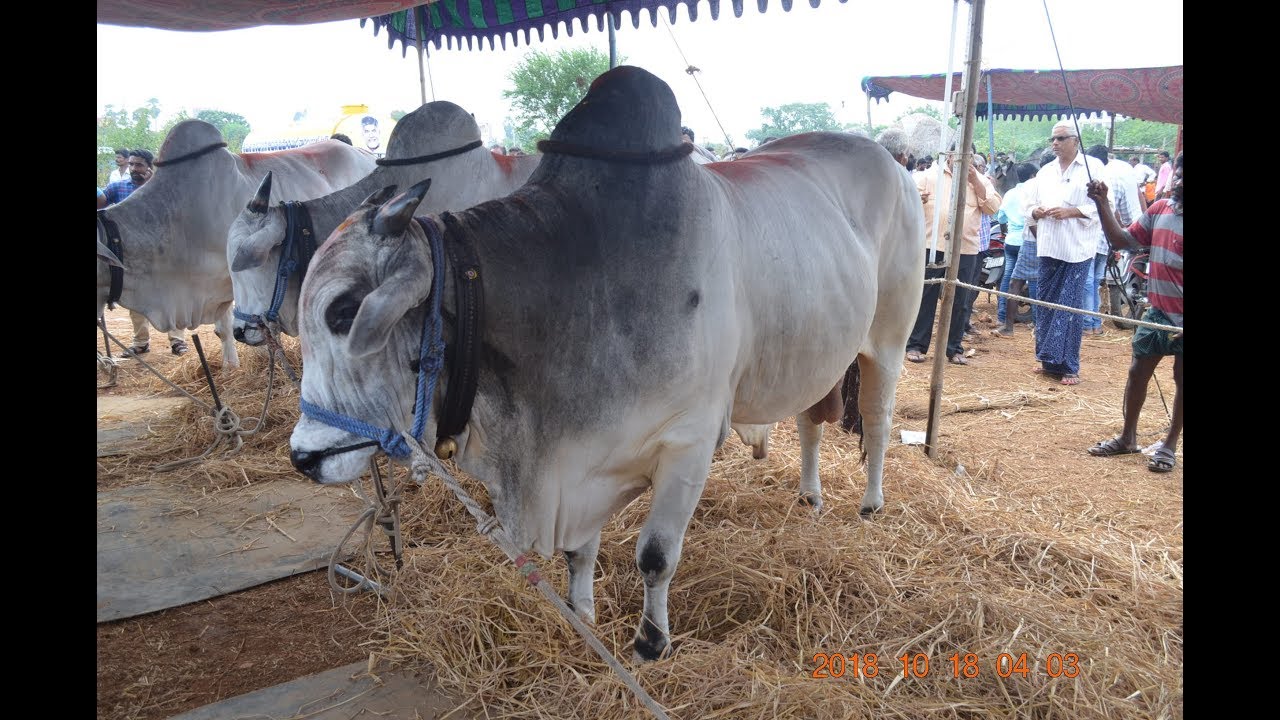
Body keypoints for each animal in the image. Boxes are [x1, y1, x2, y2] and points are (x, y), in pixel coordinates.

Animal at [287, 66, 925, 661]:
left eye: (343, 311)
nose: (303, 457)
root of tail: (890, 162)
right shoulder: (584, 454)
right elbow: (579, 549)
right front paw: (583, 616)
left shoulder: (690, 442)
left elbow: (656, 555)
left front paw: (650, 642)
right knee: (810, 421)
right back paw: (810, 495)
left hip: (888, 341)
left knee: (878, 419)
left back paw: (870, 503)